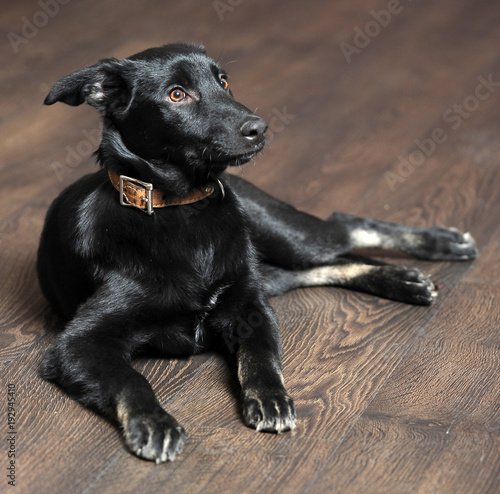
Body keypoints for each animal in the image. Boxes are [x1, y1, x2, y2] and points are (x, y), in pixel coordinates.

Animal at [38, 43, 476, 464]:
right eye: (177, 95)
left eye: (224, 82)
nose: (260, 128)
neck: (181, 210)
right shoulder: (80, 343)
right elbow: (132, 380)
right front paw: (153, 421)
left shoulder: (249, 307)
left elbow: (260, 357)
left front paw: (269, 397)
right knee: (321, 260)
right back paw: (407, 279)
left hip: (283, 236)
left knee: (342, 226)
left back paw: (437, 247)